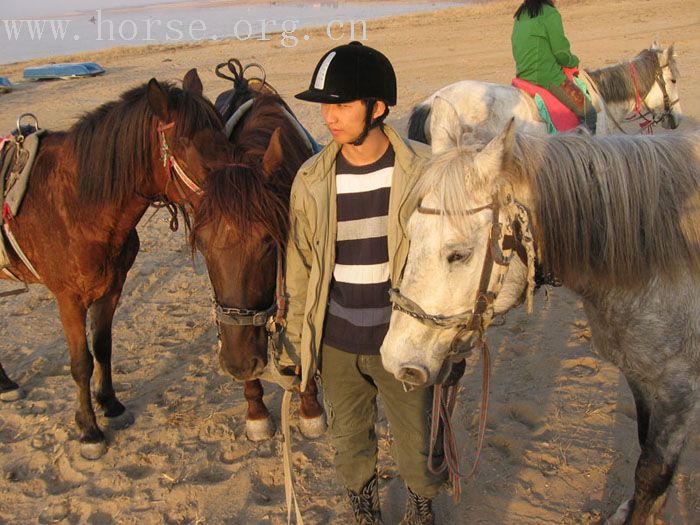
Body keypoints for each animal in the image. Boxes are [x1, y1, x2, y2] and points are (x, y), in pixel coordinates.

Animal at [0, 70, 232, 458]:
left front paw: (110, 404)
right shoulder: (69, 299)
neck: (79, 203)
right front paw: (89, 429)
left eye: (224, 136)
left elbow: (103, 348)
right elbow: (81, 362)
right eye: (188, 144)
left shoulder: (112, 288)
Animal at [382, 99, 700, 524]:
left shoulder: (678, 391)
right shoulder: (643, 379)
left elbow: (652, 474)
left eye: (458, 254)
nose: (394, 358)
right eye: (411, 233)